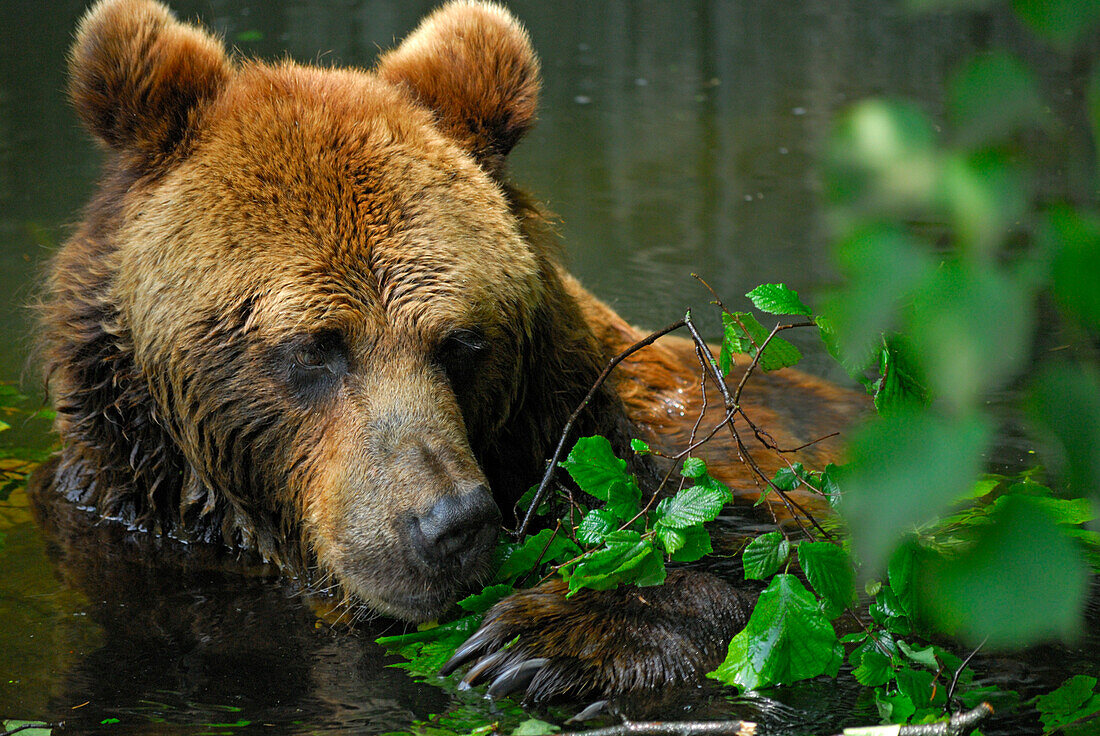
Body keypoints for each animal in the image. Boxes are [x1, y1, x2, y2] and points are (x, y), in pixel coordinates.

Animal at [32, 0, 858, 704]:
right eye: (316, 348)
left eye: (462, 342)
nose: (450, 522)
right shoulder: (123, 527)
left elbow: (804, 569)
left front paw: (538, 639)